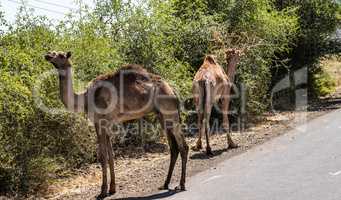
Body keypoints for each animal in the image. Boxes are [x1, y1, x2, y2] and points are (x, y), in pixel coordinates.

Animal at [44, 50, 189, 198]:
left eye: (61, 55)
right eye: (53, 52)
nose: (47, 55)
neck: (84, 99)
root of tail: (173, 91)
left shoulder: (99, 122)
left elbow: (103, 157)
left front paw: (102, 191)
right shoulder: (107, 124)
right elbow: (111, 155)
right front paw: (112, 189)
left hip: (170, 112)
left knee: (183, 146)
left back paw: (181, 184)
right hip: (162, 116)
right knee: (173, 148)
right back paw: (165, 184)